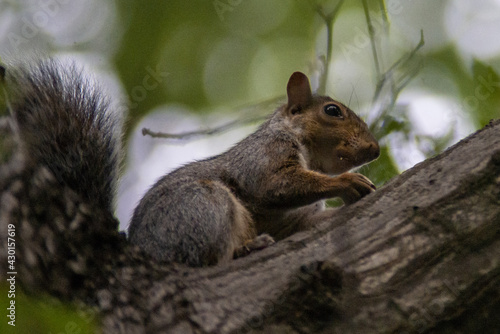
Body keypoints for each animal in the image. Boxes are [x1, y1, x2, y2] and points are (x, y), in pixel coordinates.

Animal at [2, 58, 378, 268]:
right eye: (332, 111)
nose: (374, 149)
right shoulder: (263, 157)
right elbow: (276, 185)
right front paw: (348, 182)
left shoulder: (294, 222)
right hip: (203, 207)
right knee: (203, 260)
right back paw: (246, 247)